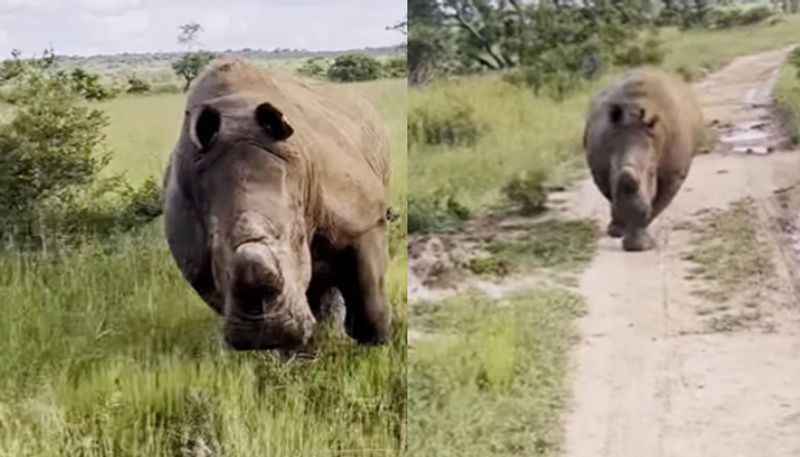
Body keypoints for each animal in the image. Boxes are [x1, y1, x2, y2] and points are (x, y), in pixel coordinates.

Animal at [162, 58, 390, 350]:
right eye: (213, 247)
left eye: (297, 236)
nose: (264, 333)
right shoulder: (196, 262)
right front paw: (300, 349)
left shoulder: (364, 220)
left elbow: (370, 297)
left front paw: (377, 347)